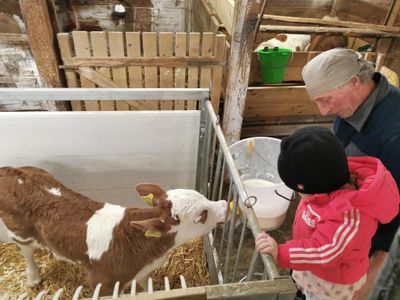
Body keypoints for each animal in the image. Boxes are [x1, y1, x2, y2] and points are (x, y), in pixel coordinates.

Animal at [0, 166, 227, 296]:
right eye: (201, 216)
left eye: (202, 196)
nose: (225, 204)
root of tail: (10, 170)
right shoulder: (103, 283)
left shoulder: (141, 272)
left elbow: (148, 287)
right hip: (19, 232)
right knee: (26, 252)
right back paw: (33, 277)